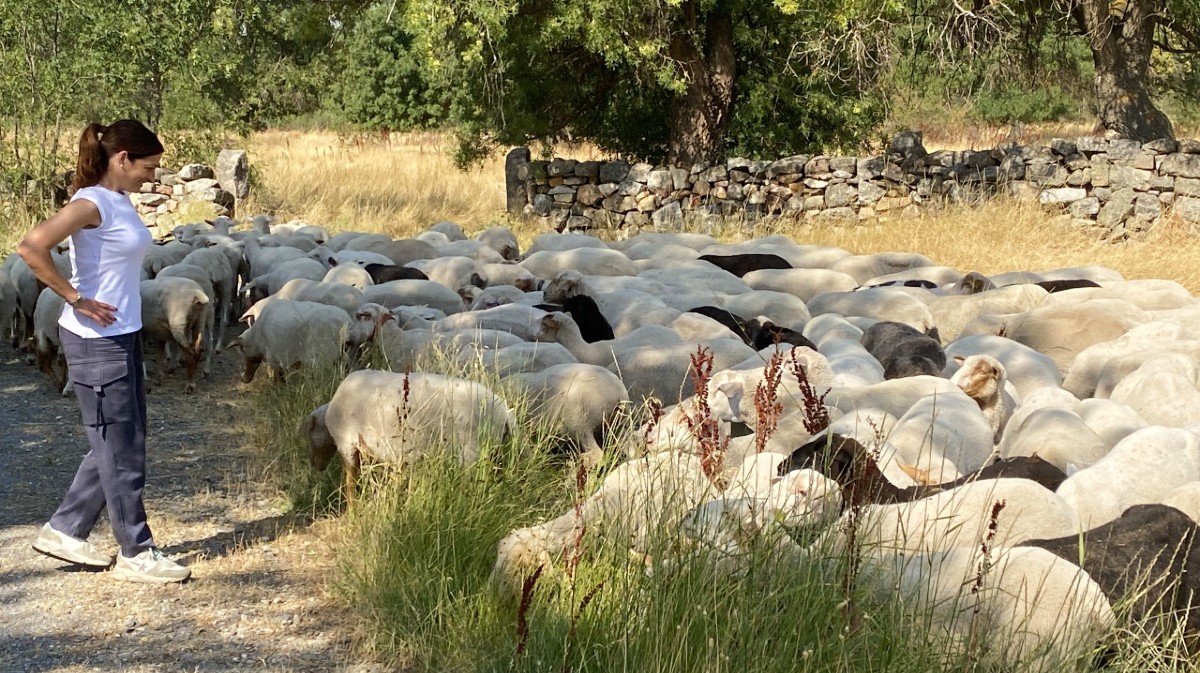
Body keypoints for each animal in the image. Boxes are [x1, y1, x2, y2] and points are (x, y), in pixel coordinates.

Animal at [305, 369, 516, 499]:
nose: (315, 466)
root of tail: (505, 413)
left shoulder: (348, 444)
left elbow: (349, 483)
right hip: (493, 451)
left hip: (471, 451)